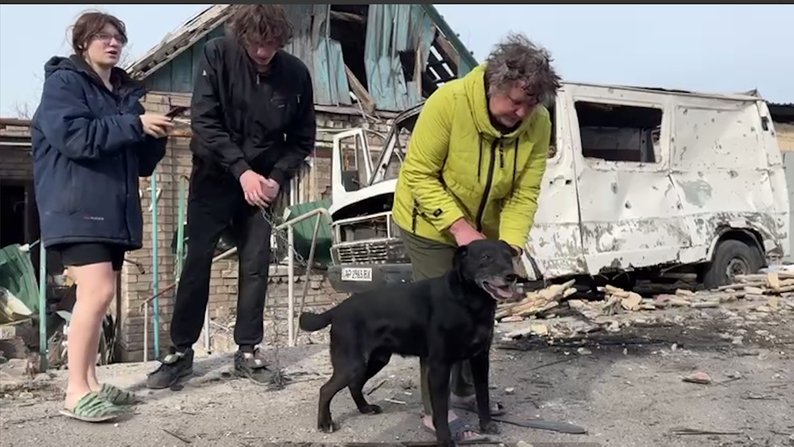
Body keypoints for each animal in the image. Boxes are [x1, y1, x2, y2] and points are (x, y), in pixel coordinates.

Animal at [299, 239, 524, 446]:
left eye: (508, 256)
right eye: (486, 257)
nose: (511, 276)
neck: (468, 301)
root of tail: (337, 309)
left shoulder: (480, 359)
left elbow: (483, 396)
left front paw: (486, 425)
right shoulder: (439, 366)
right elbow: (441, 411)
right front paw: (445, 439)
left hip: (376, 360)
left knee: (355, 384)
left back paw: (365, 408)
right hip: (352, 364)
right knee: (325, 389)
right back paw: (325, 423)